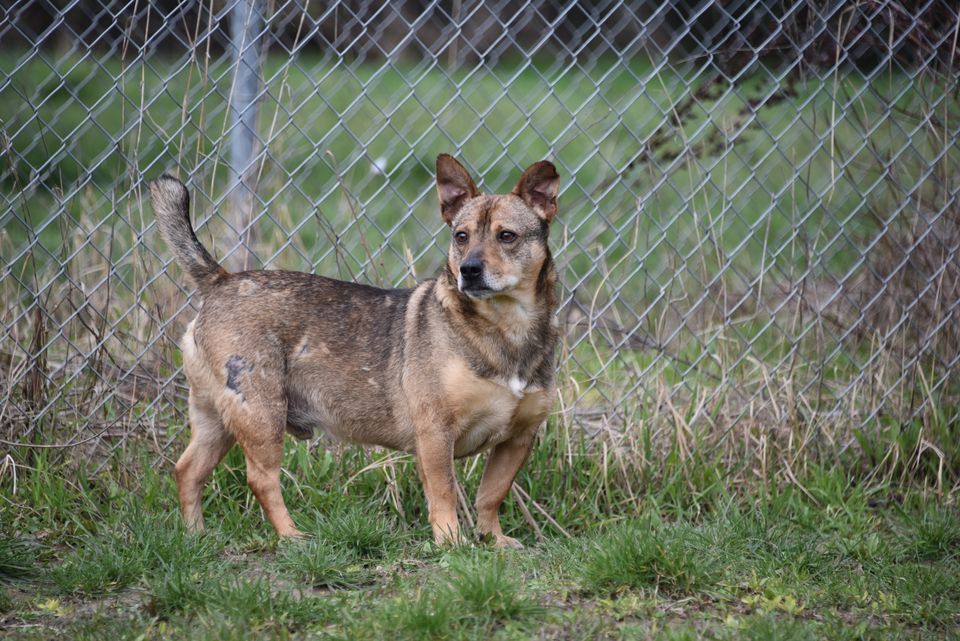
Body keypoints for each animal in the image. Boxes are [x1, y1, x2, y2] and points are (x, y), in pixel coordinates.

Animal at [150, 154, 564, 544]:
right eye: (460, 236)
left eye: (507, 236)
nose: (469, 269)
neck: (506, 326)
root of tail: (221, 280)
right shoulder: (435, 434)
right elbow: (444, 492)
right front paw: (452, 542)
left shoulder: (517, 440)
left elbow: (491, 494)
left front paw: (492, 539)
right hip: (260, 416)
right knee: (261, 480)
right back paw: (291, 536)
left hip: (216, 418)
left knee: (187, 471)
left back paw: (195, 535)